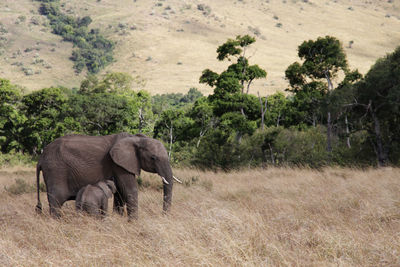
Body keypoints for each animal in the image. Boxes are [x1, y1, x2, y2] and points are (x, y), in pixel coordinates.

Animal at [36, 133, 180, 221]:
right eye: (153, 158)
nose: (164, 216)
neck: (136, 138)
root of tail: (41, 158)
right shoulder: (118, 164)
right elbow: (130, 190)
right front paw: (134, 223)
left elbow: (120, 193)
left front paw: (119, 218)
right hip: (55, 170)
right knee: (56, 200)